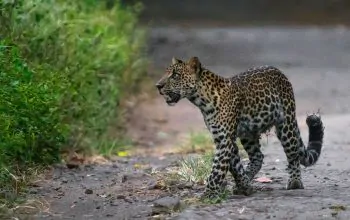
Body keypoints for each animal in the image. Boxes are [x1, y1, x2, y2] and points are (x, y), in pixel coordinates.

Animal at [156, 56, 326, 198]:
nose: (158, 85)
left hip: (286, 124)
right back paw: (248, 177)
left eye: (175, 75)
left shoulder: (225, 140)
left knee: (293, 154)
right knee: (258, 156)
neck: (201, 100)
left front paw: (209, 194)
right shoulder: (222, 138)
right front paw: (243, 185)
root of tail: (280, 72)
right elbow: (235, 166)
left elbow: (217, 170)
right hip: (248, 134)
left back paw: (295, 182)